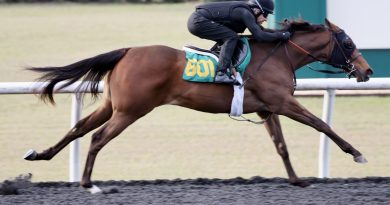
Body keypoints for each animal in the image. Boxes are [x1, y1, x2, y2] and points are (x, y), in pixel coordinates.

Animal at [23, 18, 372, 191]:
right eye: (348, 43)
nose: (367, 71)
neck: (279, 56)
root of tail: (128, 51)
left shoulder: (267, 108)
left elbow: (281, 145)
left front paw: (297, 179)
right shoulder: (284, 102)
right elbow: (322, 124)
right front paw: (356, 153)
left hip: (113, 106)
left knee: (79, 128)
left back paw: (41, 155)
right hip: (130, 110)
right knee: (96, 137)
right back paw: (86, 182)